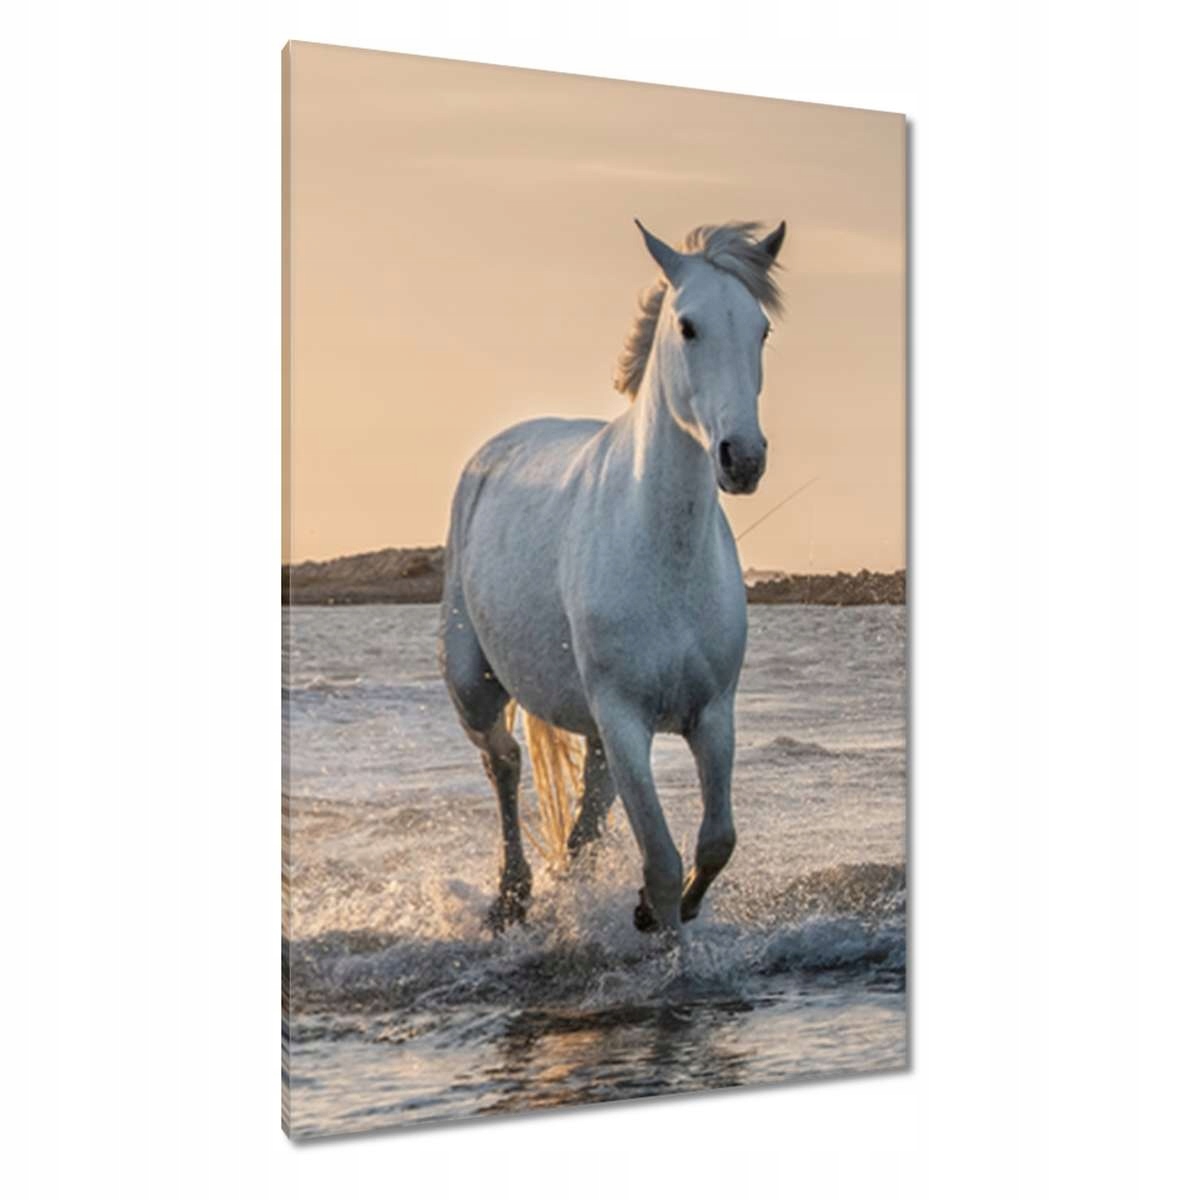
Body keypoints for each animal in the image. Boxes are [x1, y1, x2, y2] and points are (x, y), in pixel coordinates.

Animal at [438, 218, 786, 937]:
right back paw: (511, 898)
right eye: (687, 326)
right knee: (504, 765)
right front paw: (664, 930)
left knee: (585, 815)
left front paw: (659, 911)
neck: (663, 554)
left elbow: (715, 842)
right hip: (475, 686)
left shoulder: (714, 714)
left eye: (762, 329)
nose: (742, 459)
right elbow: (660, 860)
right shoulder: (625, 719)